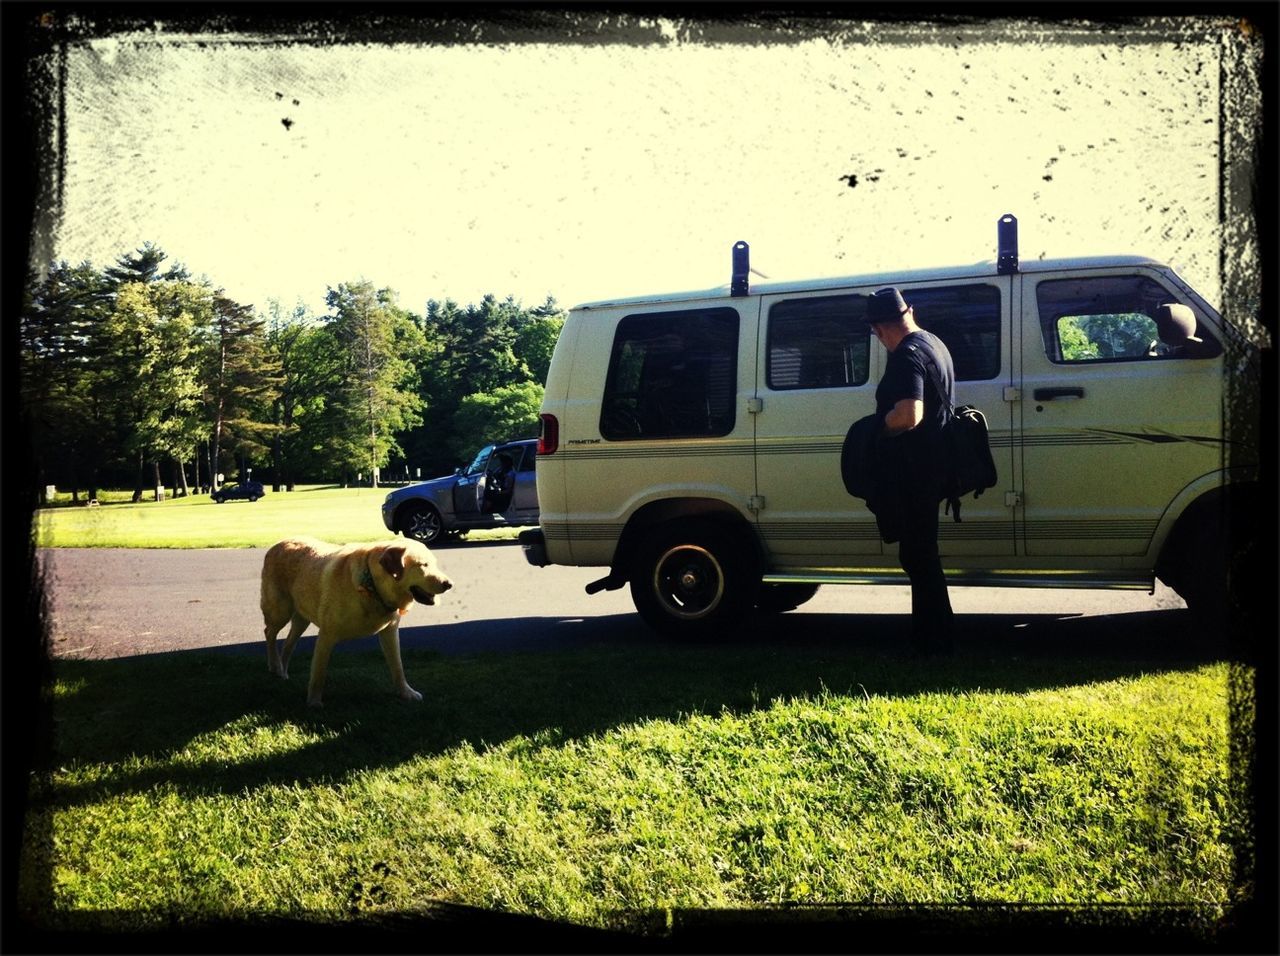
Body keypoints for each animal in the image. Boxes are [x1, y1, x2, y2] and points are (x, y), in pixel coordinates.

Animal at [257, 537, 453, 711]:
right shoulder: (326, 636)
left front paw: (406, 693)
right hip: (280, 611)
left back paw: (282, 671)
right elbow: (318, 673)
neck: (373, 587)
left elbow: (398, 667)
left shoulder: (390, 632)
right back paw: (274, 665)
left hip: (301, 618)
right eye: (423, 565)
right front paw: (313, 702)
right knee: (269, 633)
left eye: (434, 564)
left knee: (288, 642)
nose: (449, 584)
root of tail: (277, 544)